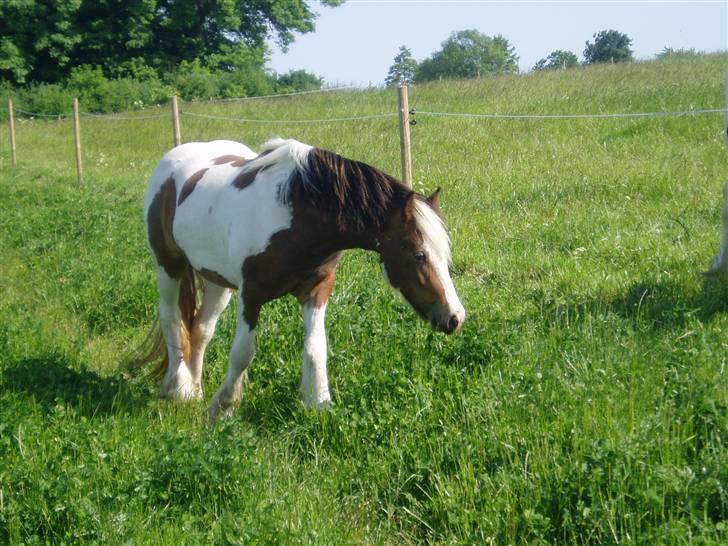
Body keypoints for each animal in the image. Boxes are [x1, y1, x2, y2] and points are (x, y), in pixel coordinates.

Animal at [132, 138, 466, 418]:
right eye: (419, 255)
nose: (455, 317)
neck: (299, 214)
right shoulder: (251, 294)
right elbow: (242, 353)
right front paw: (224, 407)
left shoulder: (317, 290)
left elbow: (316, 348)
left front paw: (319, 402)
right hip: (169, 266)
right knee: (172, 319)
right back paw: (179, 387)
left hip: (217, 280)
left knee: (201, 329)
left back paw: (196, 388)